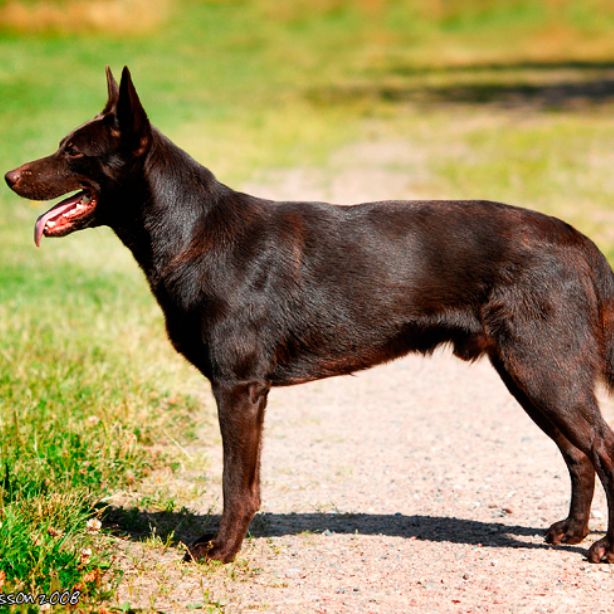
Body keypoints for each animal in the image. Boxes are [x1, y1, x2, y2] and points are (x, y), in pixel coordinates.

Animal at [4, 66, 614, 564]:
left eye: (73, 153)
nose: (10, 176)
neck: (192, 232)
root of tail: (580, 241)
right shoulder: (247, 390)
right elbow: (244, 480)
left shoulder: (239, 386)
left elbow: (235, 482)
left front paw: (221, 551)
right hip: (529, 372)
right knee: (577, 452)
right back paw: (571, 532)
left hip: (545, 368)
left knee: (600, 447)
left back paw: (602, 547)